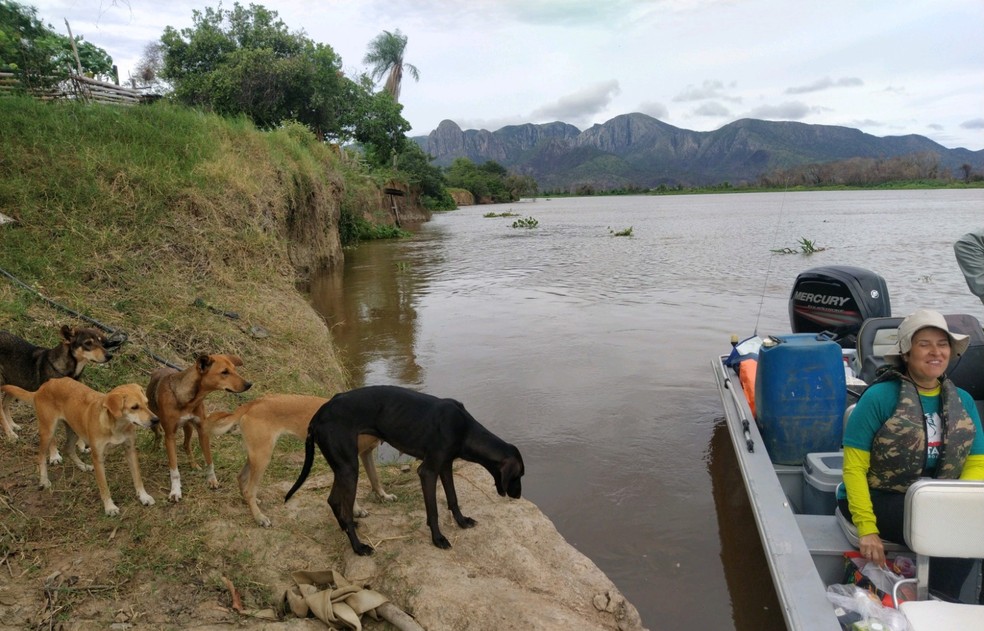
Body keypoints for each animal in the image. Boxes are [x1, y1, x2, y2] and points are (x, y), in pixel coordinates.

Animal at [1, 378, 159, 516]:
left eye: (147, 403)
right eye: (134, 407)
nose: (156, 420)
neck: (116, 426)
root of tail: (43, 387)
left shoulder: (130, 450)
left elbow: (137, 478)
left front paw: (143, 496)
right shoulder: (98, 458)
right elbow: (104, 487)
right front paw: (110, 507)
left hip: (73, 429)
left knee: (68, 449)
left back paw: (83, 466)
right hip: (48, 431)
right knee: (40, 456)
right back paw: (44, 481)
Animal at [148, 354, 254, 502]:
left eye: (234, 369)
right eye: (224, 372)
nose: (249, 384)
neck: (189, 400)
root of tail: (161, 368)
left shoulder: (202, 431)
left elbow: (209, 460)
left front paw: (212, 480)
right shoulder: (170, 436)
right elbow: (174, 470)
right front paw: (175, 491)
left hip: (188, 427)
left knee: (186, 445)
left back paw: (193, 464)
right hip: (154, 422)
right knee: (158, 435)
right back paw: (154, 449)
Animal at [208, 396, 396, 528]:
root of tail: (252, 403)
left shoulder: (365, 454)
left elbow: (375, 479)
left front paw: (383, 496)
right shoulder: (348, 461)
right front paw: (355, 509)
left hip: (256, 455)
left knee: (241, 478)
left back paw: (252, 504)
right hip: (262, 457)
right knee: (249, 489)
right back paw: (259, 517)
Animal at [284, 386, 524, 556]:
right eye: (519, 475)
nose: (518, 496)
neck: (463, 427)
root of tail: (318, 415)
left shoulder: (445, 465)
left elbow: (453, 499)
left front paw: (462, 521)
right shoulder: (428, 471)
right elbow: (433, 511)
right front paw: (438, 539)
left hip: (343, 467)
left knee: (333, 500)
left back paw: (346, 528)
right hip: (349, 468)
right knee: (344, 509)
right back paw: (358, 547)